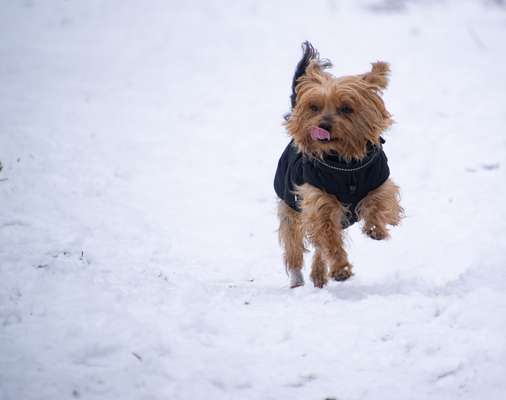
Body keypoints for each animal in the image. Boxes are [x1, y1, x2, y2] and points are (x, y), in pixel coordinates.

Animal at [274, 42, 402, 288]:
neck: (344, 162)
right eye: (314, 107)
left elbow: (379, 203)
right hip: (289, 206)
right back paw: (298, 279)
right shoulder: (317, 199)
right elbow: (328, 238)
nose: (322, 126)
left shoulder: (378, 180)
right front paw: (340, 268)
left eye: (346, 108)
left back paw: (318, 274)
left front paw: (376, 228)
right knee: (295, 241)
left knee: (316, 249)